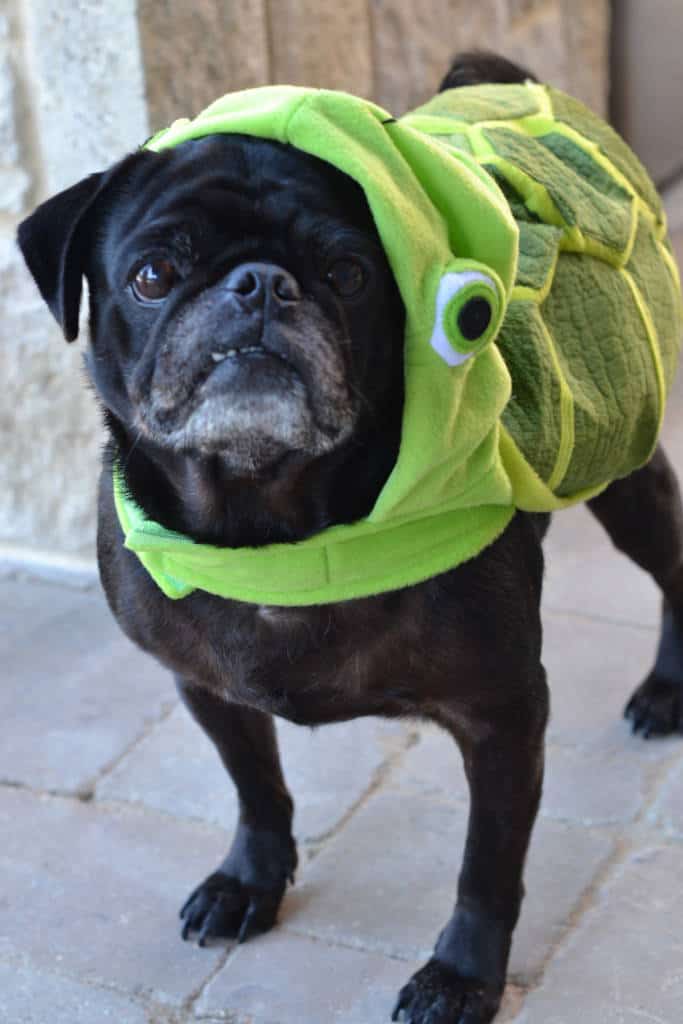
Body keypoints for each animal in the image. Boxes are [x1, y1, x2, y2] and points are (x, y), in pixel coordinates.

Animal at [17, 54, 683, 1024]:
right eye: (152, 274)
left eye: (347, 272)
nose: (258, 283)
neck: (271, 523)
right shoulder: (205, 687)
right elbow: (256, 787)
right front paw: (250, 882)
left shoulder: (503, 716)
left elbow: (487, 867)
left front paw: (460, 976)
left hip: (627, 476)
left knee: (673, 574)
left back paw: (666, 690)